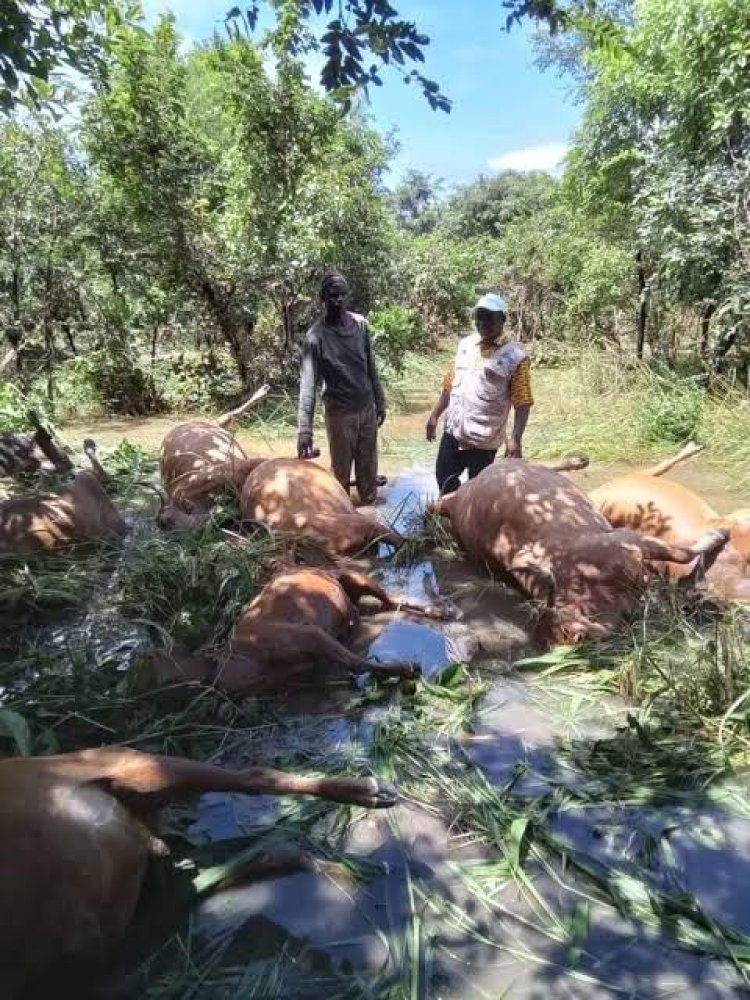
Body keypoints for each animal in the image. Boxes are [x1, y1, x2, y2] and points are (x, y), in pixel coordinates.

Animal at [432, 458, 732, 640]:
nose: (572, 637)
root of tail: (456, 500)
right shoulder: (628, 541)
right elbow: (683, 553)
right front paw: (720, 534)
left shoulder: (628, 543)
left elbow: (680, 553)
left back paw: (578, 459)